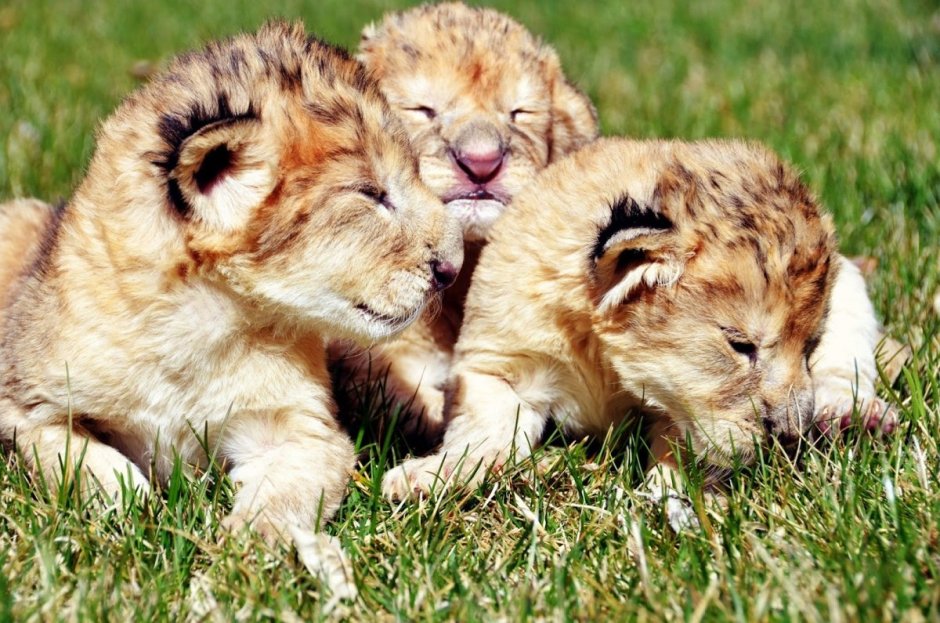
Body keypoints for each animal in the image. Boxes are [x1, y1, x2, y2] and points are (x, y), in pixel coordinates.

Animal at [0, 22, 462, 542]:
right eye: (371, 194)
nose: (453, 266)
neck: (200, 321)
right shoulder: (24, 403)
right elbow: (74, 456)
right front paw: (128, 504)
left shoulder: (304, 430)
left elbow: (285, 492)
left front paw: (244, 541)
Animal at [381, 138, 892, 523]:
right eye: (739, 345)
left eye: (809, 346)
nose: (787, 436)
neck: (602, 351)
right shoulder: (498, 364)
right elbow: (487, 429)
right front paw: (431, 477)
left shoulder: (681, 406)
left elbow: (682, 447)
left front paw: (689, 498)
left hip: (852, 290)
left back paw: (852, 414)